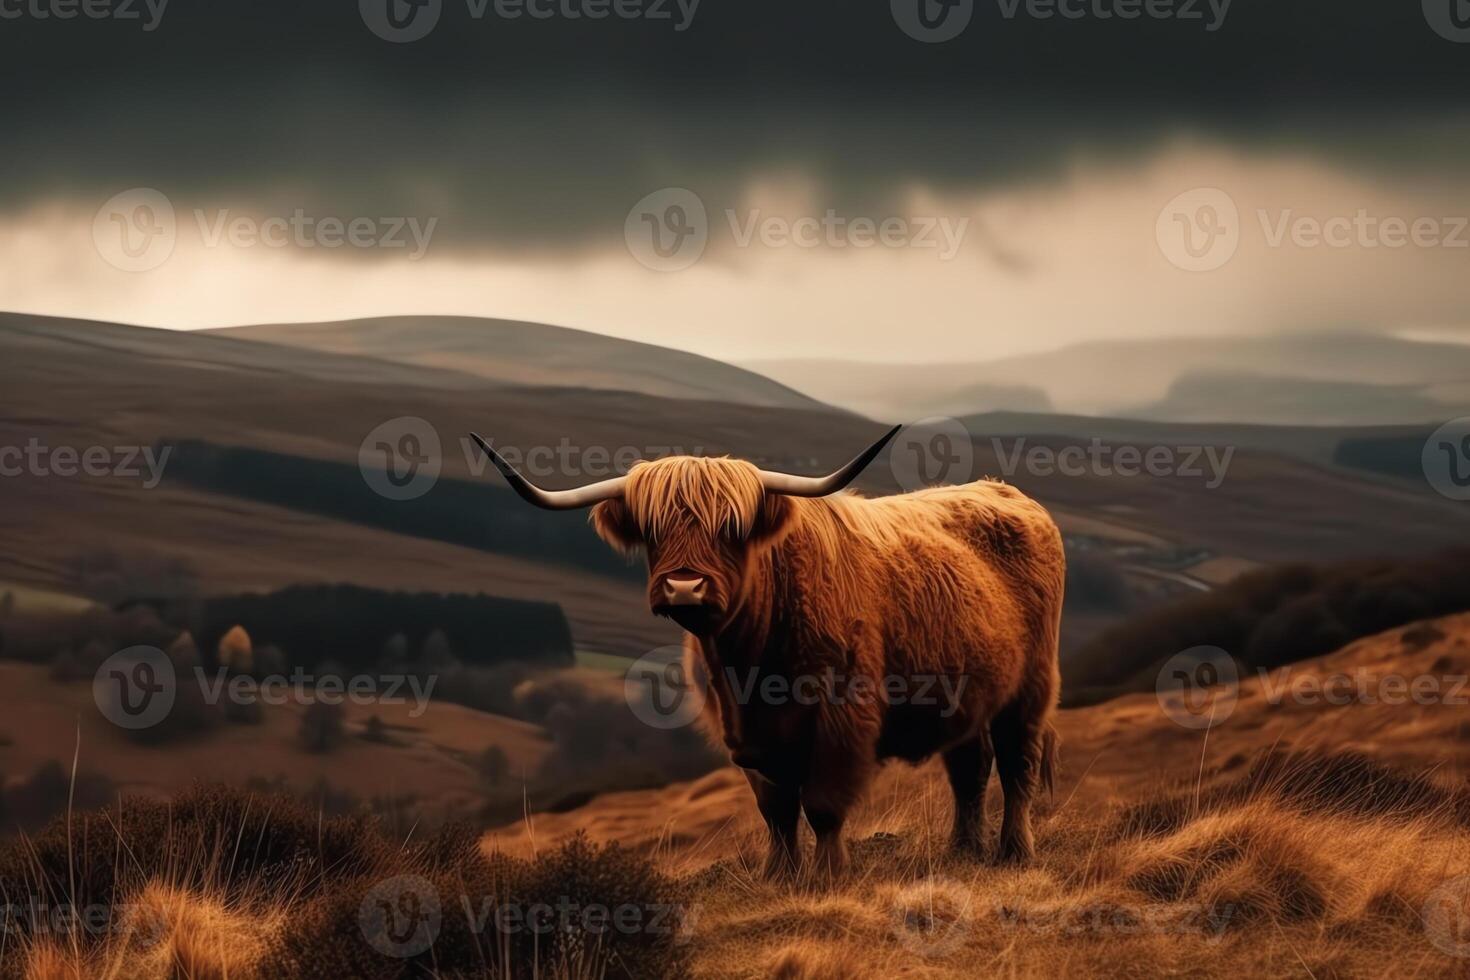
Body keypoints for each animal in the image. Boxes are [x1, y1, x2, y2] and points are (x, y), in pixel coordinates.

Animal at [476, 429, 1064, 881]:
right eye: (653, 530)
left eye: (731, 530)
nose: (684, 588)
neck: (750, 662)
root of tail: (1008, 493)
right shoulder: (745, 734)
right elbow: (775, 809)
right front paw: (779, 876)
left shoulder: (842, 718)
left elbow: (822, 805)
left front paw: (829, 876)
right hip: (967, 694)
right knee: (970, 768)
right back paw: (962, 853)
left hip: (1032, 688)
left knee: (1017, 764)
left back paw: (1014, 853)